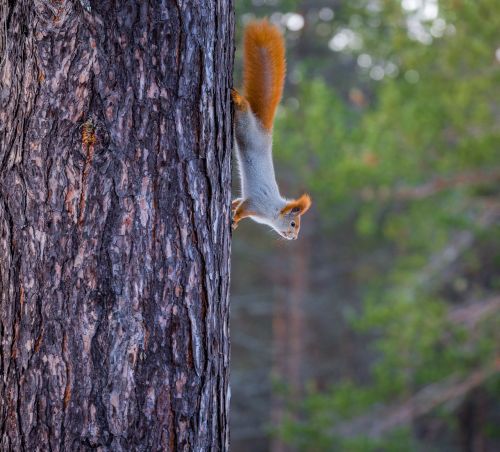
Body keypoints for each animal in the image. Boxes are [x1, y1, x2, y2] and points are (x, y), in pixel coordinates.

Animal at [232, 19, 310, 240]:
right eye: (293, 224)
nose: (294, 238)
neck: (274, 210)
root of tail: (263, 130)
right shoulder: (255, 204)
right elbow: (242, 209)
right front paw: (234, 219)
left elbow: (238, 202)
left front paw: (231, 207)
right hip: (246, 126)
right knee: (244, 108)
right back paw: (236, 97)